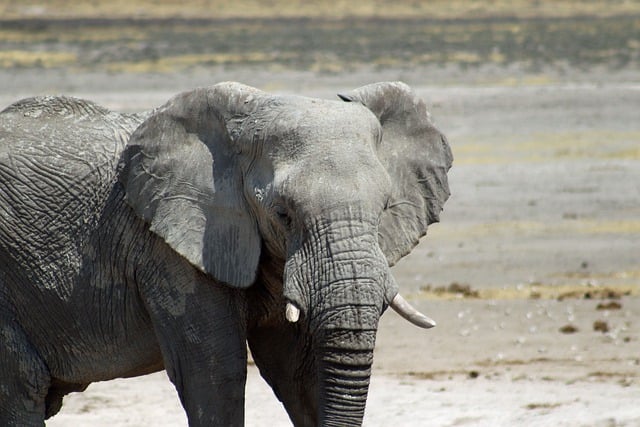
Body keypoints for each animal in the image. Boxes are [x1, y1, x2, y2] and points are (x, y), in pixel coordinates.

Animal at [0, 81, 450, 427]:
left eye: (384, 208)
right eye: (283, 214)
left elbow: (299, 372)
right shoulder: (172, 253)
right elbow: (215, 376)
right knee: (21, 388)